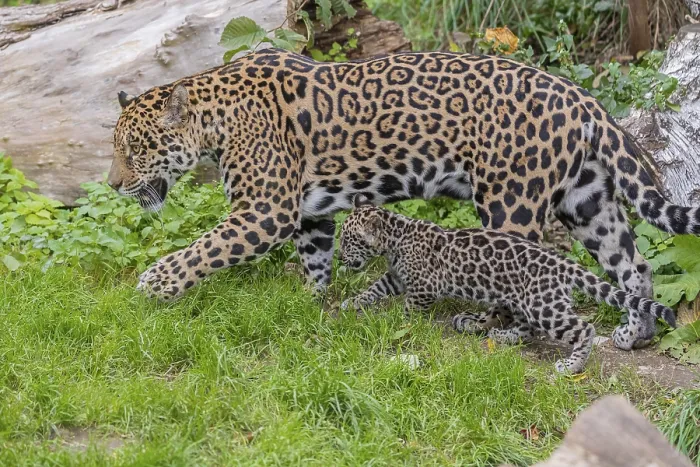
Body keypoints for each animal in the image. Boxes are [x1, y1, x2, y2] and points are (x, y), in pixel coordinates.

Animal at [107, 48, 699, 351]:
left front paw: (155, 285)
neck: (214, 116)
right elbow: (315, 261)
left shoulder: (265, 210)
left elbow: (203, 249)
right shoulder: (308, 213)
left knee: (522, 267)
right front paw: (310, 304)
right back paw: (636, 333)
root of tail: (583, 98)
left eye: (135, 148)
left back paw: (494, 328)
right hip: (586, 200)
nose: (112, 184)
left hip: (511, 202)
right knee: (634, 266)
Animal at [338, 195, 676, 374]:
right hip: (525, 300)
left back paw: (572, 365)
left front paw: (398, 320)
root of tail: (563, 263)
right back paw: (504, 335)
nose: (339, 257)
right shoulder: (396, 276)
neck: (395, 238)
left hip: (543, 305)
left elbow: (409, 308)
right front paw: (353, 303)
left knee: (583, 328)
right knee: (527, 329)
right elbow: (375, 288)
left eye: (348, 240)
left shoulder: (423, 286)